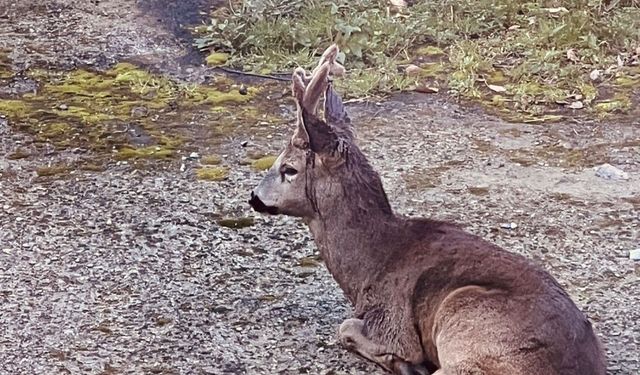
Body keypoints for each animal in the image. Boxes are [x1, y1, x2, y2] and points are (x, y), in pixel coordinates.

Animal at [248, 44, 608, 375]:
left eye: (289, 168)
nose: (254, 197)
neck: (369, 265)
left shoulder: (393, 322)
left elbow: (347, 328)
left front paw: (400, 361)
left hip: (466, 321)